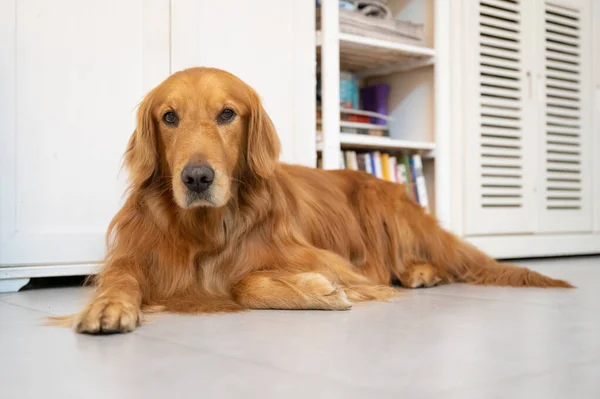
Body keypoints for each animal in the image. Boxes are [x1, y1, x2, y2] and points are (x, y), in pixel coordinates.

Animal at [61, 68, 572, 334]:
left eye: (227, 114)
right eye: (169, 117)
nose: (198, 178)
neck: (207, 228)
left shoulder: (332, 261)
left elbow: (244, 283)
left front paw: (318, 291)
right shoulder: (134, 256)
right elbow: (121, 278)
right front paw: (108, 306)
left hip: (378, 200)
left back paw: (420, 272)